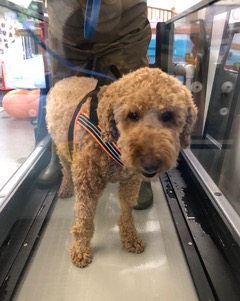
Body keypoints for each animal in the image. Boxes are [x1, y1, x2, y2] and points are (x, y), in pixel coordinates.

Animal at [46, 67, 198, 266]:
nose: (150, 164)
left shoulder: (130, 183)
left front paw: (130, 238)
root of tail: (67, 79)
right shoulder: (87, 184)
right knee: (65, 168)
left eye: (167, 115)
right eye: (132, 115)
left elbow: (126, 214)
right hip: (62, 146)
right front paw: (80, 249)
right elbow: (84, 222)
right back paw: (65, 187)